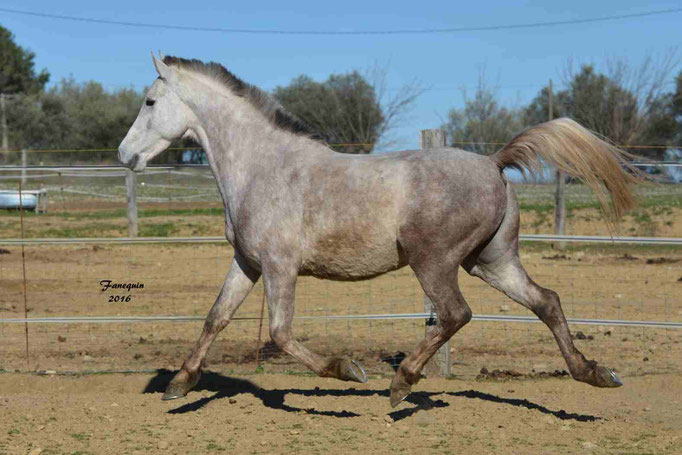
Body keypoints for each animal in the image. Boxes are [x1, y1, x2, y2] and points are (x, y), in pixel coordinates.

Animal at [118, 55, 636, 408]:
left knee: (456, 314)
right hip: (491, 261)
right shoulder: (247, 263)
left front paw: (348, 370)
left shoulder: (280, 266)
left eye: (149, 101)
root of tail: (493, 162)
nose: (125, 154)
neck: (262, 167)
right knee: (546, 301)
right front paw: (179, 384)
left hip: (434, 261)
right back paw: (594, 373)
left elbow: (281, 333)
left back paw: (401, 383)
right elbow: (216, 318)